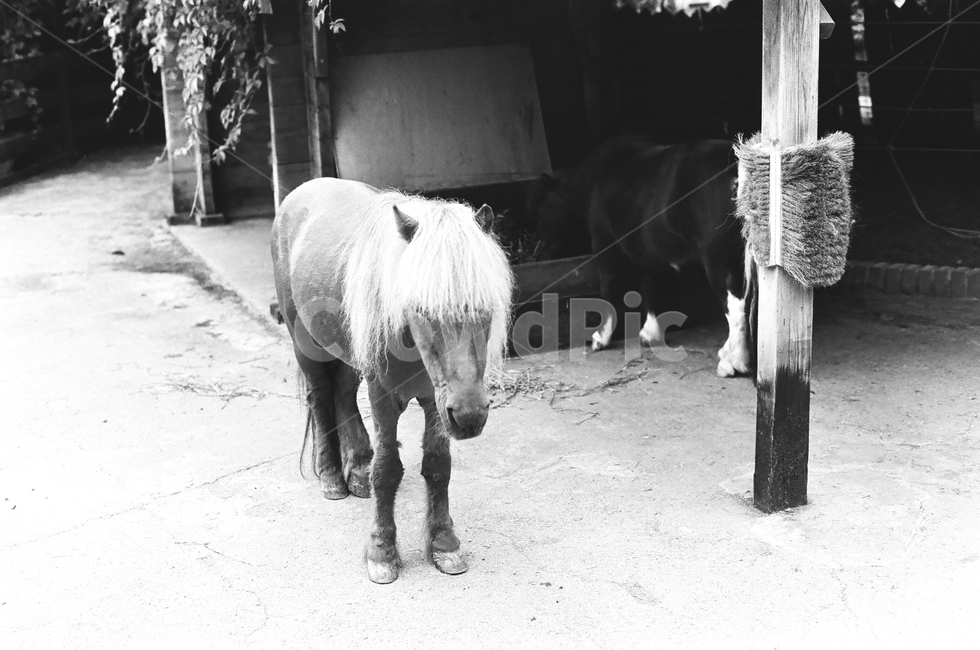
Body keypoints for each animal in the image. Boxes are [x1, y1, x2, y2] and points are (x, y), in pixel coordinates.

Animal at [271, 178, 514, 583]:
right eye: (421, 309)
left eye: (484, 308)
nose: (470, 416)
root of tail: (301, 191)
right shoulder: (384, 395)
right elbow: (387, 471)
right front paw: (382, 552)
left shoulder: (436, 401)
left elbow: (438, 466)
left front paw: (444, 544)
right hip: (306, 345)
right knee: (321, 398)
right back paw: (332, 477)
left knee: (342, 394)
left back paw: (357, 469)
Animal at [528, 136, 755, 378]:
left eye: (541, 211)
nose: (537, 252)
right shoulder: (644, 251)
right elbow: (648, 285)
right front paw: (650, 332)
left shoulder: (603, 245)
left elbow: (608, 287)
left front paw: (602, 337)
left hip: (720, 261)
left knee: (736, 307)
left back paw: (734, 363)